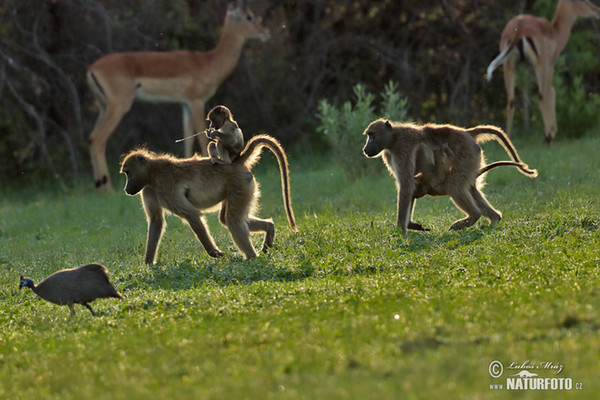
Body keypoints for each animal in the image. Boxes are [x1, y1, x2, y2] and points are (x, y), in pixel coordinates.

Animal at [86, 1, 270, 192]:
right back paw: (107, 188)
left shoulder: (185, 104)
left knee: (91, 138)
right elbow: (201, 137)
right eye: (248, 16)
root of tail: (92, 68)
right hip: (118, 106)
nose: (266, 33)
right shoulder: (196, 102)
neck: (208, 62)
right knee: (98, 139)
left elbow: (187, 138)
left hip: (105, 107)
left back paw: (100, 185)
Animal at [488, 0, 600, 144]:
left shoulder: (527, 69)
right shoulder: (549, 65)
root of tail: (519, 27)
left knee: (511, 100)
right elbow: (551, 92)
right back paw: (547, 138)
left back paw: (508, 138)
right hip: (539, 66)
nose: (597, 10)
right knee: (541, 96)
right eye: (582, 0)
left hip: (509, 67)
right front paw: (551, 132)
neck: (554, 32)